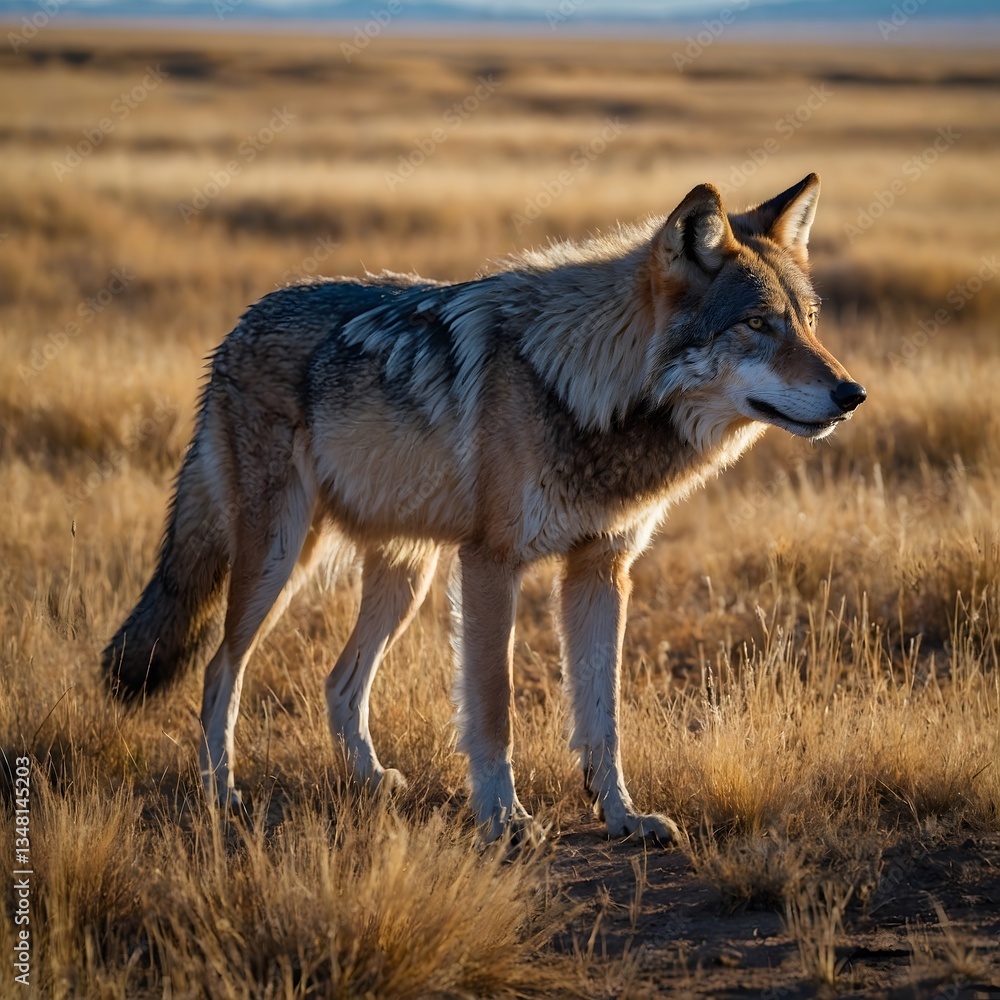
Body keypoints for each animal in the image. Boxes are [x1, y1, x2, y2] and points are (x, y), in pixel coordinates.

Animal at [103, 174, 865, 844]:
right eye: (758, 324)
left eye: (808, 322)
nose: (852, 394)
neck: (584, 389)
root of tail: (236, 328)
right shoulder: (493, 565)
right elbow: (495, 709)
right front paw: (505, 820)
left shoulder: (600, 570)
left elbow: (603, 718)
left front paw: (622, 817)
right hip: (277, 563)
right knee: (218, 671)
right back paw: (221, 794)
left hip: (403, 579)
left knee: (339, 681)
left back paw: (370, 780)